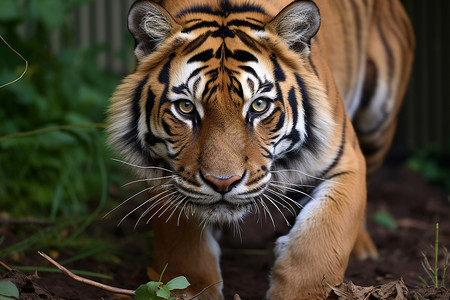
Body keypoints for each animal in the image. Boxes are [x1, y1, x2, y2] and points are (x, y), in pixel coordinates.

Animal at [107, 0, 414, 298]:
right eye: (185, 107)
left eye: (259, 105)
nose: (223, 183)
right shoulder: (166, 173)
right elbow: (183, 248)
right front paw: (193, 288)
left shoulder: (346, 160)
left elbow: (320, 243)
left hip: (378, 120)